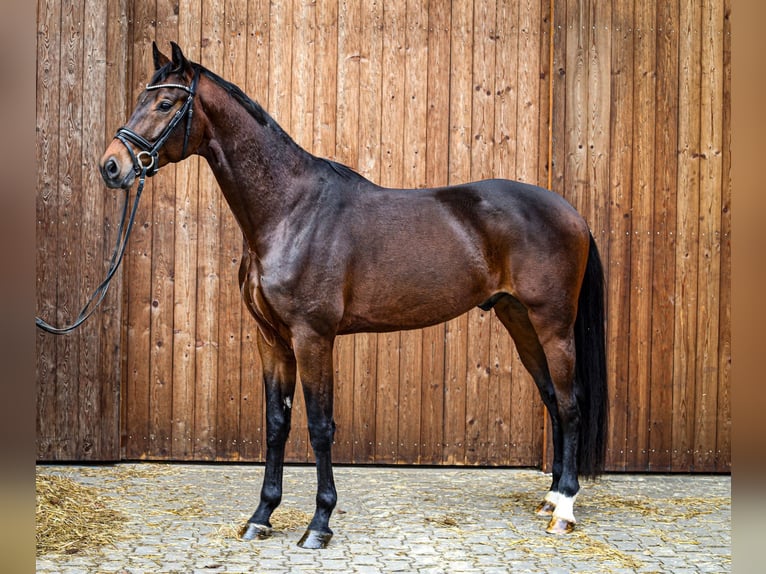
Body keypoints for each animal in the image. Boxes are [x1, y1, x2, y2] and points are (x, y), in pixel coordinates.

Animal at [100, 42, 608, 552]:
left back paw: (564, 509)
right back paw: (549, 498)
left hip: (552, 324)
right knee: (551, 399)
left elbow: (320, 426)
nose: (112, 166)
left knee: (570, 404)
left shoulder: (313, 337)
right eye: (142, 99)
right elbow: (276, 425)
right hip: (518, 319)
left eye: (165, 103)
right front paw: (262, 515)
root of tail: (571, 212)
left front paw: (319, 523)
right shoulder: (271, 340)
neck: (290, 211)